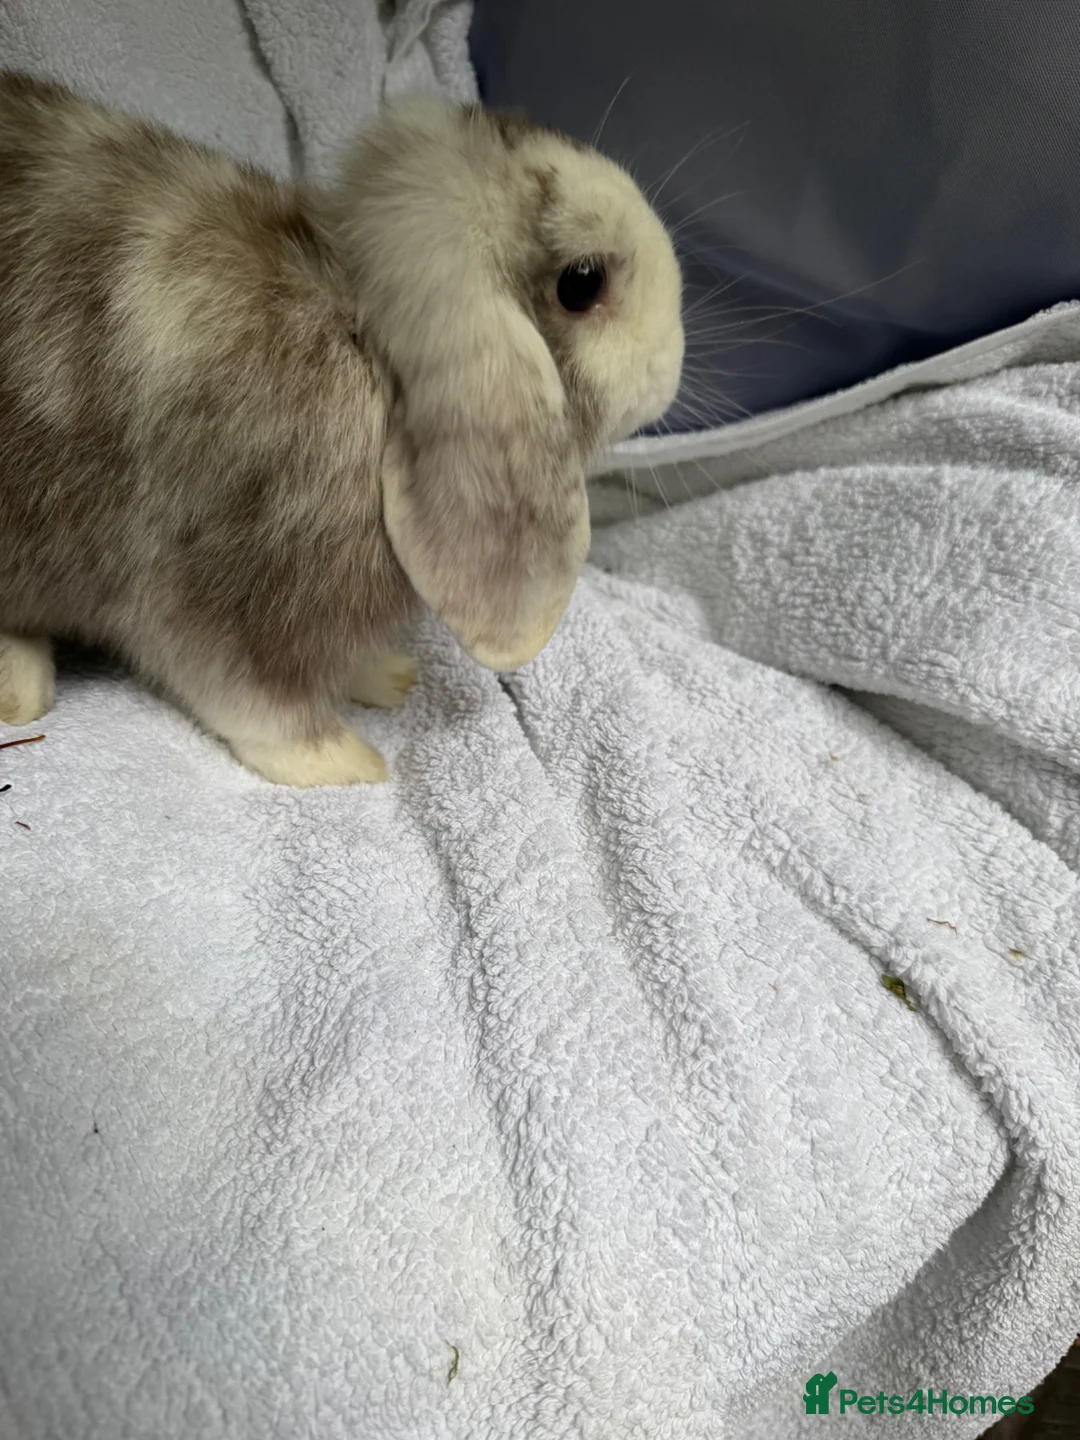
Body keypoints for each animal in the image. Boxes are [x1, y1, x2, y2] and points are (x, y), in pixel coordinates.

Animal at [0, 71, 684, 786]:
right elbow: (252, 699)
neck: (365, 349)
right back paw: (22, 690)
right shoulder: (221, 596)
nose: (672, 367)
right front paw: (345, 763)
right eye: (582, 284)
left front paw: (384, 676)